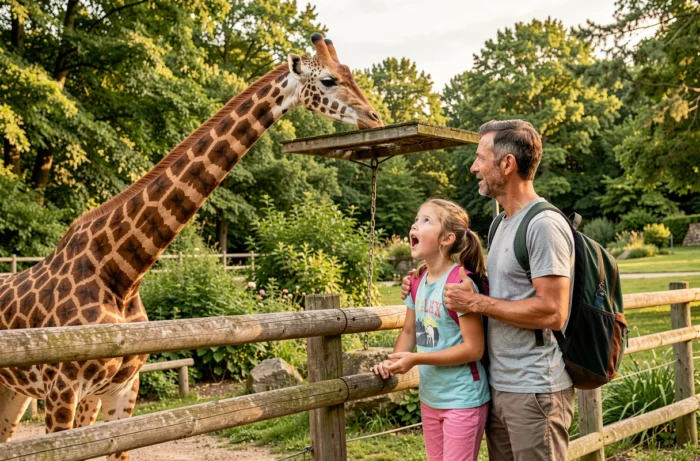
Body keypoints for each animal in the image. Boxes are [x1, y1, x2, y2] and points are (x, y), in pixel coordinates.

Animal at [0, 33, 382, 459]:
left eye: (350, 73)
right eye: (329, 80)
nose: (374, 118)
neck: (121, 271)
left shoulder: (119, 389)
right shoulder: (62, 390)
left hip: (15, 392)